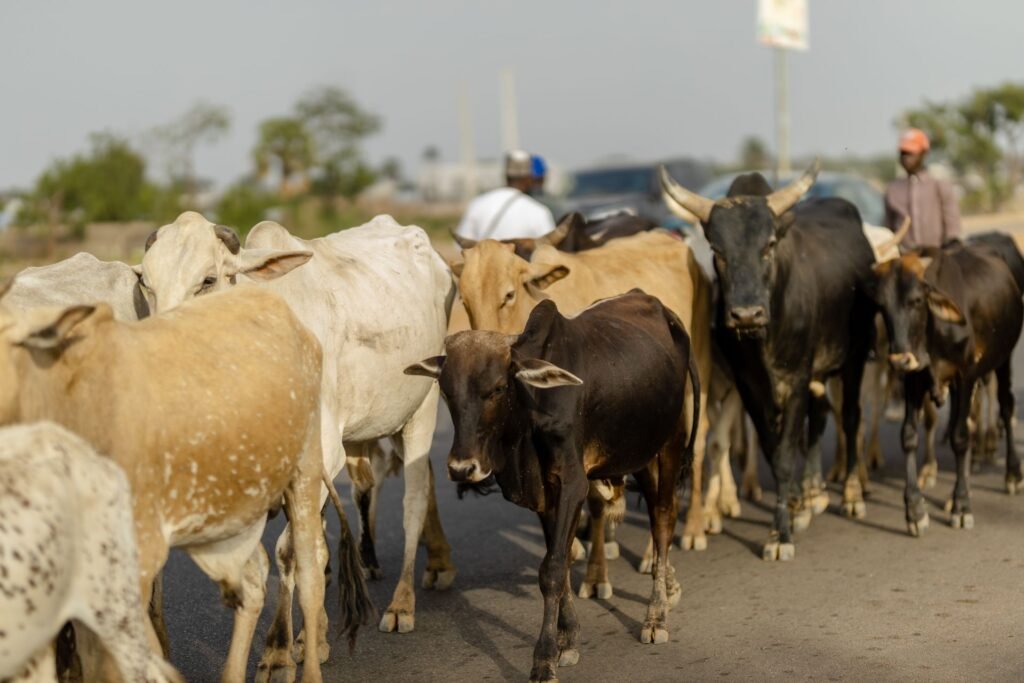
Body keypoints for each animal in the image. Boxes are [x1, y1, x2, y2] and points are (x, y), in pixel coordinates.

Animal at [138, 212, 455, 645]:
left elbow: (295, 549)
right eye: (144, 282)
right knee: (362, 489)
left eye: (207, 280)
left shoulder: (321, 451)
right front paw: (305, 633)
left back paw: (402, 602)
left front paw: (287, 645)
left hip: (422, 409)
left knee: (415, 501)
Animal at [405, 290, 700, 682]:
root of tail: (659, 307)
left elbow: (553, 569)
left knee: (663, 522)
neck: (529, 411)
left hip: (666, 450)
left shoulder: (573, 485)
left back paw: (656, 615)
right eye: (447, 392)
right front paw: (568, 640)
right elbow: (561, 563)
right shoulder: (545, 495)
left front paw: (544, 659)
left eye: (497, 388)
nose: (461, 467)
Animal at [661, 160, 877, 560]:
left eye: (770, 245)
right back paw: (810, 494)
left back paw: (852, 495)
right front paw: (791, 509)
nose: (746, 314)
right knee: (819, 420)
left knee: (851, 418)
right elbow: (773, 449)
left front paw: (781, 534)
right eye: (716, 248)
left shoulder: (795, 380)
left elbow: (786, 452)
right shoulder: (750, 387)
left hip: (854, 359)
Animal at [870, 244, 1023, 534]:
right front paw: (915, 510)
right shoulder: (914, 380)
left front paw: (961, 505)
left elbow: (961, 437)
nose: (899, 360)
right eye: (882, 306)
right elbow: (909, 436)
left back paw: (1012, 474)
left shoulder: (966, 376)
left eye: (917, 300)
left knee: (1006, 408)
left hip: (1004, 360)